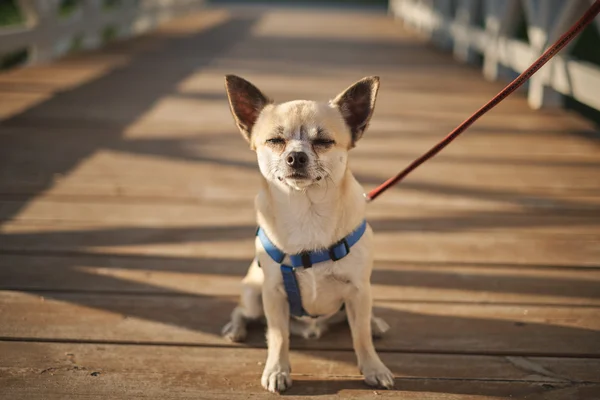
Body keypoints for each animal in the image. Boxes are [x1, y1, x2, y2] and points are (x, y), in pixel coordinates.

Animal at [220, 76, 394, 394]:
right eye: (275, 141)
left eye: (323, 142)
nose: (296, 156)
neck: (307, 211)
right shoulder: (273, 294)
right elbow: (278, 337)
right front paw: (277, 370)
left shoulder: (359, 290)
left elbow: (360, 336)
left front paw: (373, 368)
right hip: (253, 293)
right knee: (242, 312)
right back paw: (235, 329)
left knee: (361, 322)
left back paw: (375, 323)